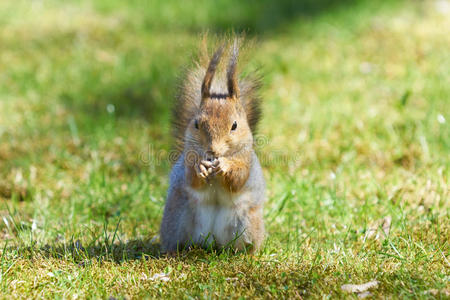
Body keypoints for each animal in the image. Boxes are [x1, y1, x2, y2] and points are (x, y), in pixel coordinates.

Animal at [160, 37, 266, 253]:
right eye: (196, 124)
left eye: (235, 125)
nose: (212, 150)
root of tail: (212, 241)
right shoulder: (188, 157)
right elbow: (192, 178)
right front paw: (201, 167)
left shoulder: (246, 161)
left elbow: (239, 178)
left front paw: (224, 166)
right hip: (176, 218)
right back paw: (173, 252)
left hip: (248, 222)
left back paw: (247, 254)